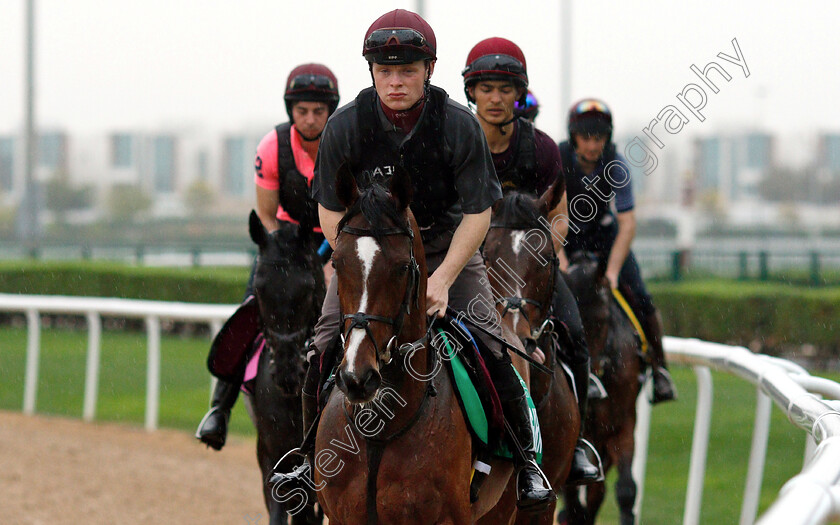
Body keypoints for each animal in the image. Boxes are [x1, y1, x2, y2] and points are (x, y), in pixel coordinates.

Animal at [556, 250, 644, 524]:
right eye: (574, 318)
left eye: (604, 318)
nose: (593, 380)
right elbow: (573, 499)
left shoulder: (622, 424)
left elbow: (626, 489)